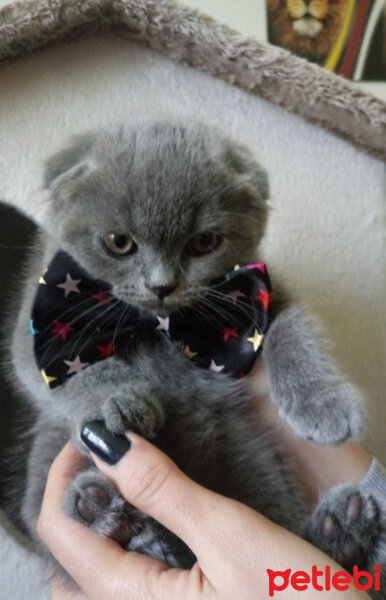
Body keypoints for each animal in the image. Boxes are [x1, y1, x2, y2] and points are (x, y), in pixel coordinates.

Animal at [5, 117, 382, 592]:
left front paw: (324, 406)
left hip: (255, 457)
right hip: (48, 458)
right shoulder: (35, 326)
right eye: (118, 242)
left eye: (204, 242)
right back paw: (114, 520)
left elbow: (292, 331)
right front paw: (117, 401)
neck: (158, 326)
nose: (162, 285)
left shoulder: (263, 296)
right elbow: (65, 370)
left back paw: (343, 532)